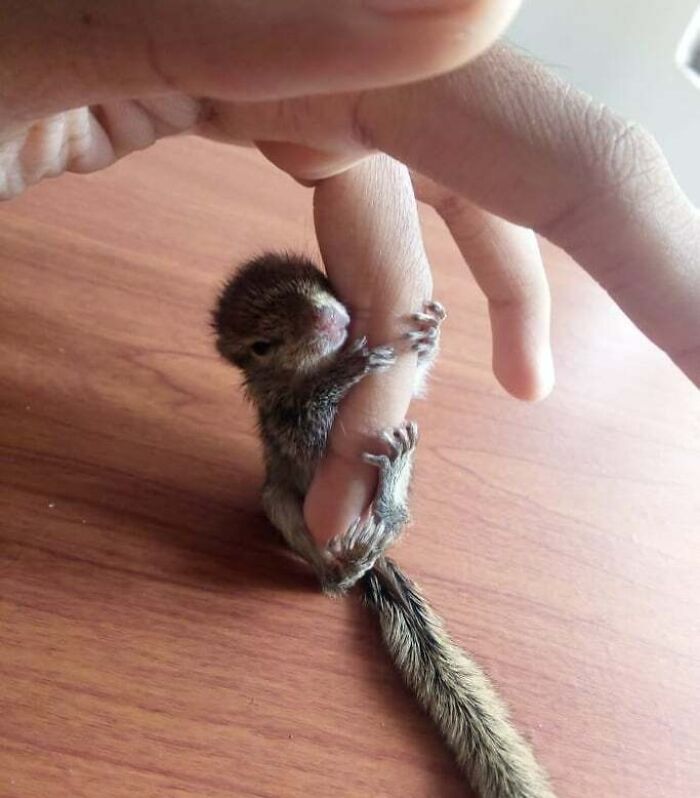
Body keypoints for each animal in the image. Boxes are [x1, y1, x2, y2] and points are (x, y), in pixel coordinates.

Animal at [211, 255, 556, 798]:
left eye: (315, 277)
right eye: (263, 345)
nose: (327, 320)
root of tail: (376, 557)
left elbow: (411, 385)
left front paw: (431, 334)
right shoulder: (290, 421)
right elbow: (315, 427)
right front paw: (347, 369)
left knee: (395, 512)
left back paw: (393, 487)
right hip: (281, 503)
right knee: (331, 582)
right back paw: (350, 562)